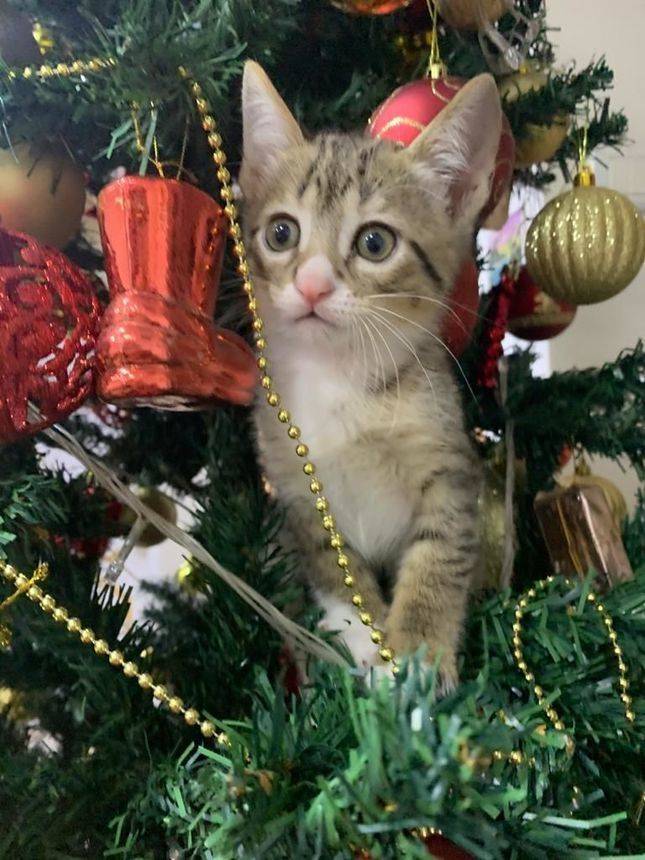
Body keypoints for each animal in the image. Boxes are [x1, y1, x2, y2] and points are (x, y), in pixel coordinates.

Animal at [239, 61, 502, 688]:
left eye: (375, 242)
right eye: (281, 233)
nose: (312, 286)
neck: (338, 378)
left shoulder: (450, 463)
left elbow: (440, 552)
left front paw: (419, 657)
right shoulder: (292, 485)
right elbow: (331, 567)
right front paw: (365, 639)